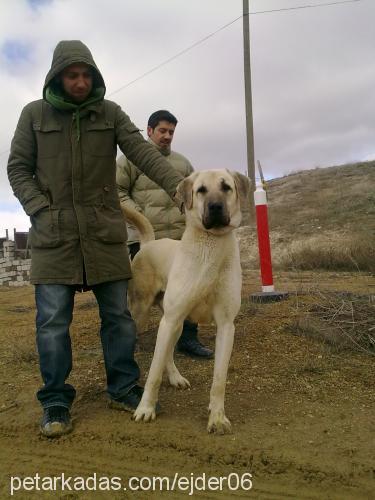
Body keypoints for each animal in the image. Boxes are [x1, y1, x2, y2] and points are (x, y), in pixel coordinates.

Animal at [123, 169, 251, 434]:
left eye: (226, 187)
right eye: (201, 190)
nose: (215, 207)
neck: (211, 248)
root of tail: (149, 243)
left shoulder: (226, 326)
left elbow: (219, 379)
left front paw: (217, 417)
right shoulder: (171, 319)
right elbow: (153, 374)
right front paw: (145, 409)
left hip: (177, 323)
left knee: (168, 353)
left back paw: (175, 377)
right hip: (145, 314)